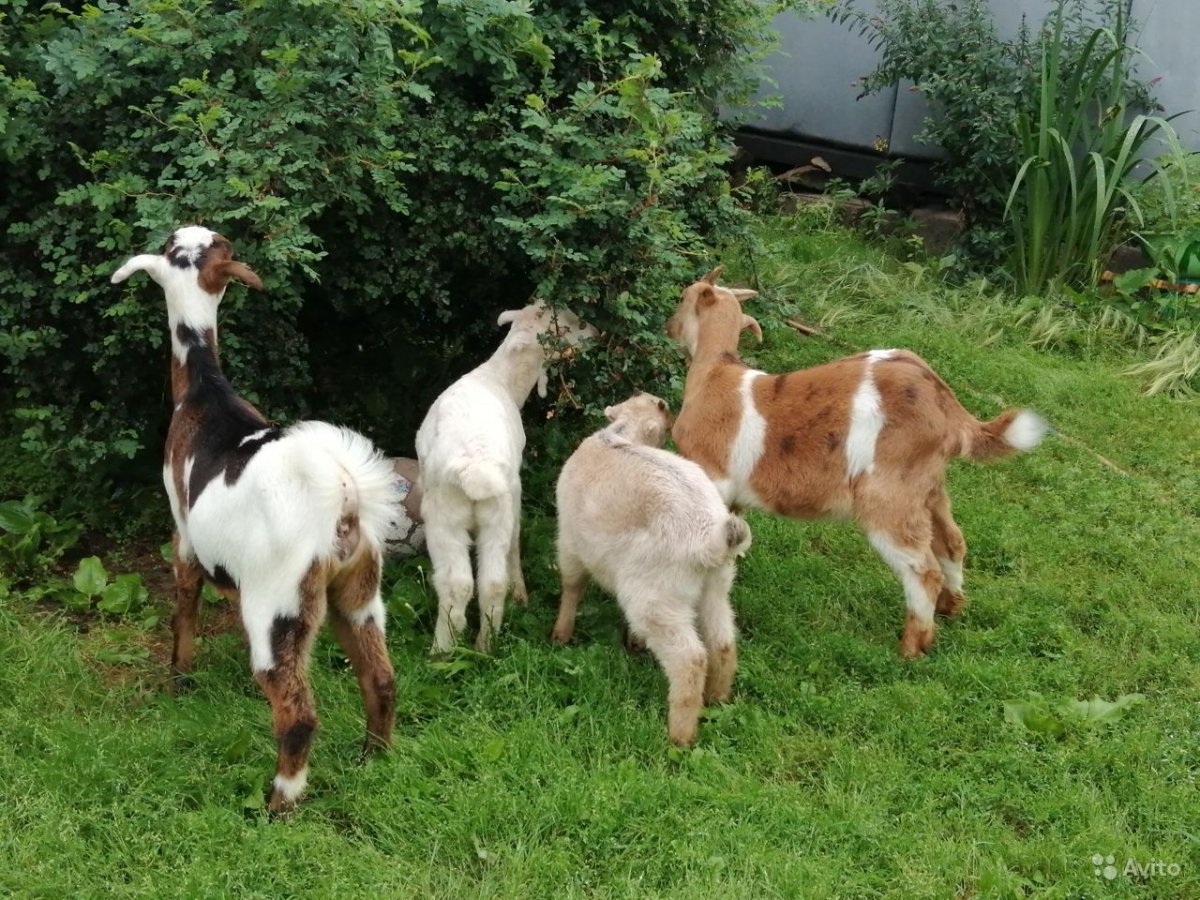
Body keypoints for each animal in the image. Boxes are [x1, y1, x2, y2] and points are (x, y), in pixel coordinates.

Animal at [111, 226, 402, 814]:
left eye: (172, 247)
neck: (205, 388)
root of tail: (343, 497)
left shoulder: (183, 533)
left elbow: (184, 608)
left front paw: (180, 679)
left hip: (279, 603)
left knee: (297, 713)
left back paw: (278, 803)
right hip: (360, 593)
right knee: (380, 677)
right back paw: (374, 760)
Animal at [416, 299, 596, 654]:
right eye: (565, 323)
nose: (595, 333)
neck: (500, 379)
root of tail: (475, 469)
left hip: (447, 513)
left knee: (458, 583)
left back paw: (442, 650)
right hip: (496, 509)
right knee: (492, 582)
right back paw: (486, 645)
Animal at [551, 392, 751, 746]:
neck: (617, 436)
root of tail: (712, 536)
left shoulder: (571, 541)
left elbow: (572, 584)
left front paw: (561, 634)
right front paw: (632, 642)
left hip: (655, 598)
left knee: (690, 659)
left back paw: (680, 736)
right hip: (715, 587)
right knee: (723, 641)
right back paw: (718, 698)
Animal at [666, 267, 1049, 658]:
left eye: (682, 297)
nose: (669, 328)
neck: (715, 371)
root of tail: (947, 406)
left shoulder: (712, 477)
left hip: (888, 497)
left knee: (922, 570)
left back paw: (911, 647)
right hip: (929, 489)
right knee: (952, 542)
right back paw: (951, 608)